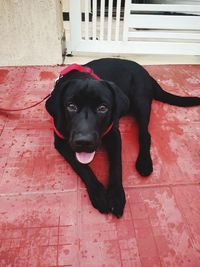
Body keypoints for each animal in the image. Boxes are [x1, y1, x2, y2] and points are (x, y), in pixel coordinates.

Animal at [45, 58, 200, 218]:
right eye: (71, 106)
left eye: (103, 108)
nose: (84, 142)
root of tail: (145, 72)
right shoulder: (61, 142)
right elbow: (82, 167)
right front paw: (98, 193)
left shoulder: (114, 134)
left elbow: (116, 165)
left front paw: (116, 195)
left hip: (141, 102)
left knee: (145, 134)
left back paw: (144, 162)